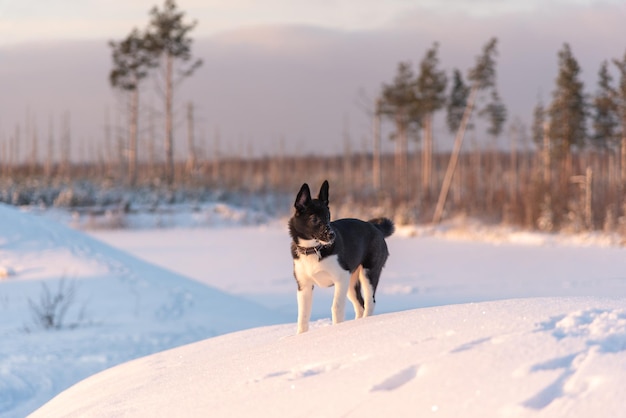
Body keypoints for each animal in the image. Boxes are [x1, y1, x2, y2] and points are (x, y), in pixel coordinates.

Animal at [286, 180, 392, 334]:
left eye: (328, 217)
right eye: (314, 219)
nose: (332, 235)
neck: (314, 249)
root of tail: (376, 228)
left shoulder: (341, 278)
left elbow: (336, 307)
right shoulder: (304, 285)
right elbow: (303, 316)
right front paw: (301, 335)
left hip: (369, 273)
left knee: (369, 302)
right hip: (351, 283)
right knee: (360, 305)